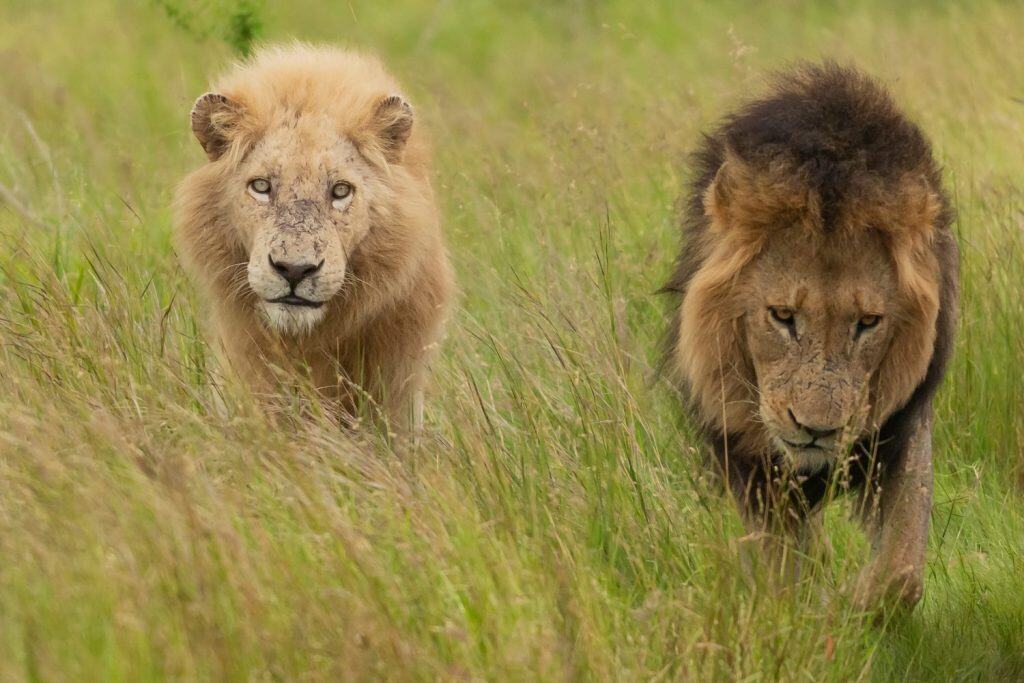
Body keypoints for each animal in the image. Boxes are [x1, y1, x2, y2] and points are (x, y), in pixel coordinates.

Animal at [663, 63, 959, 611]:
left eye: (868, 322)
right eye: (782, 316)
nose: (817, 429)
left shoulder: (901, 424)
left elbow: (901, 573)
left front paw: (846, 604)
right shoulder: (751, 459)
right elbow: (780, 573)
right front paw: (802, 610)